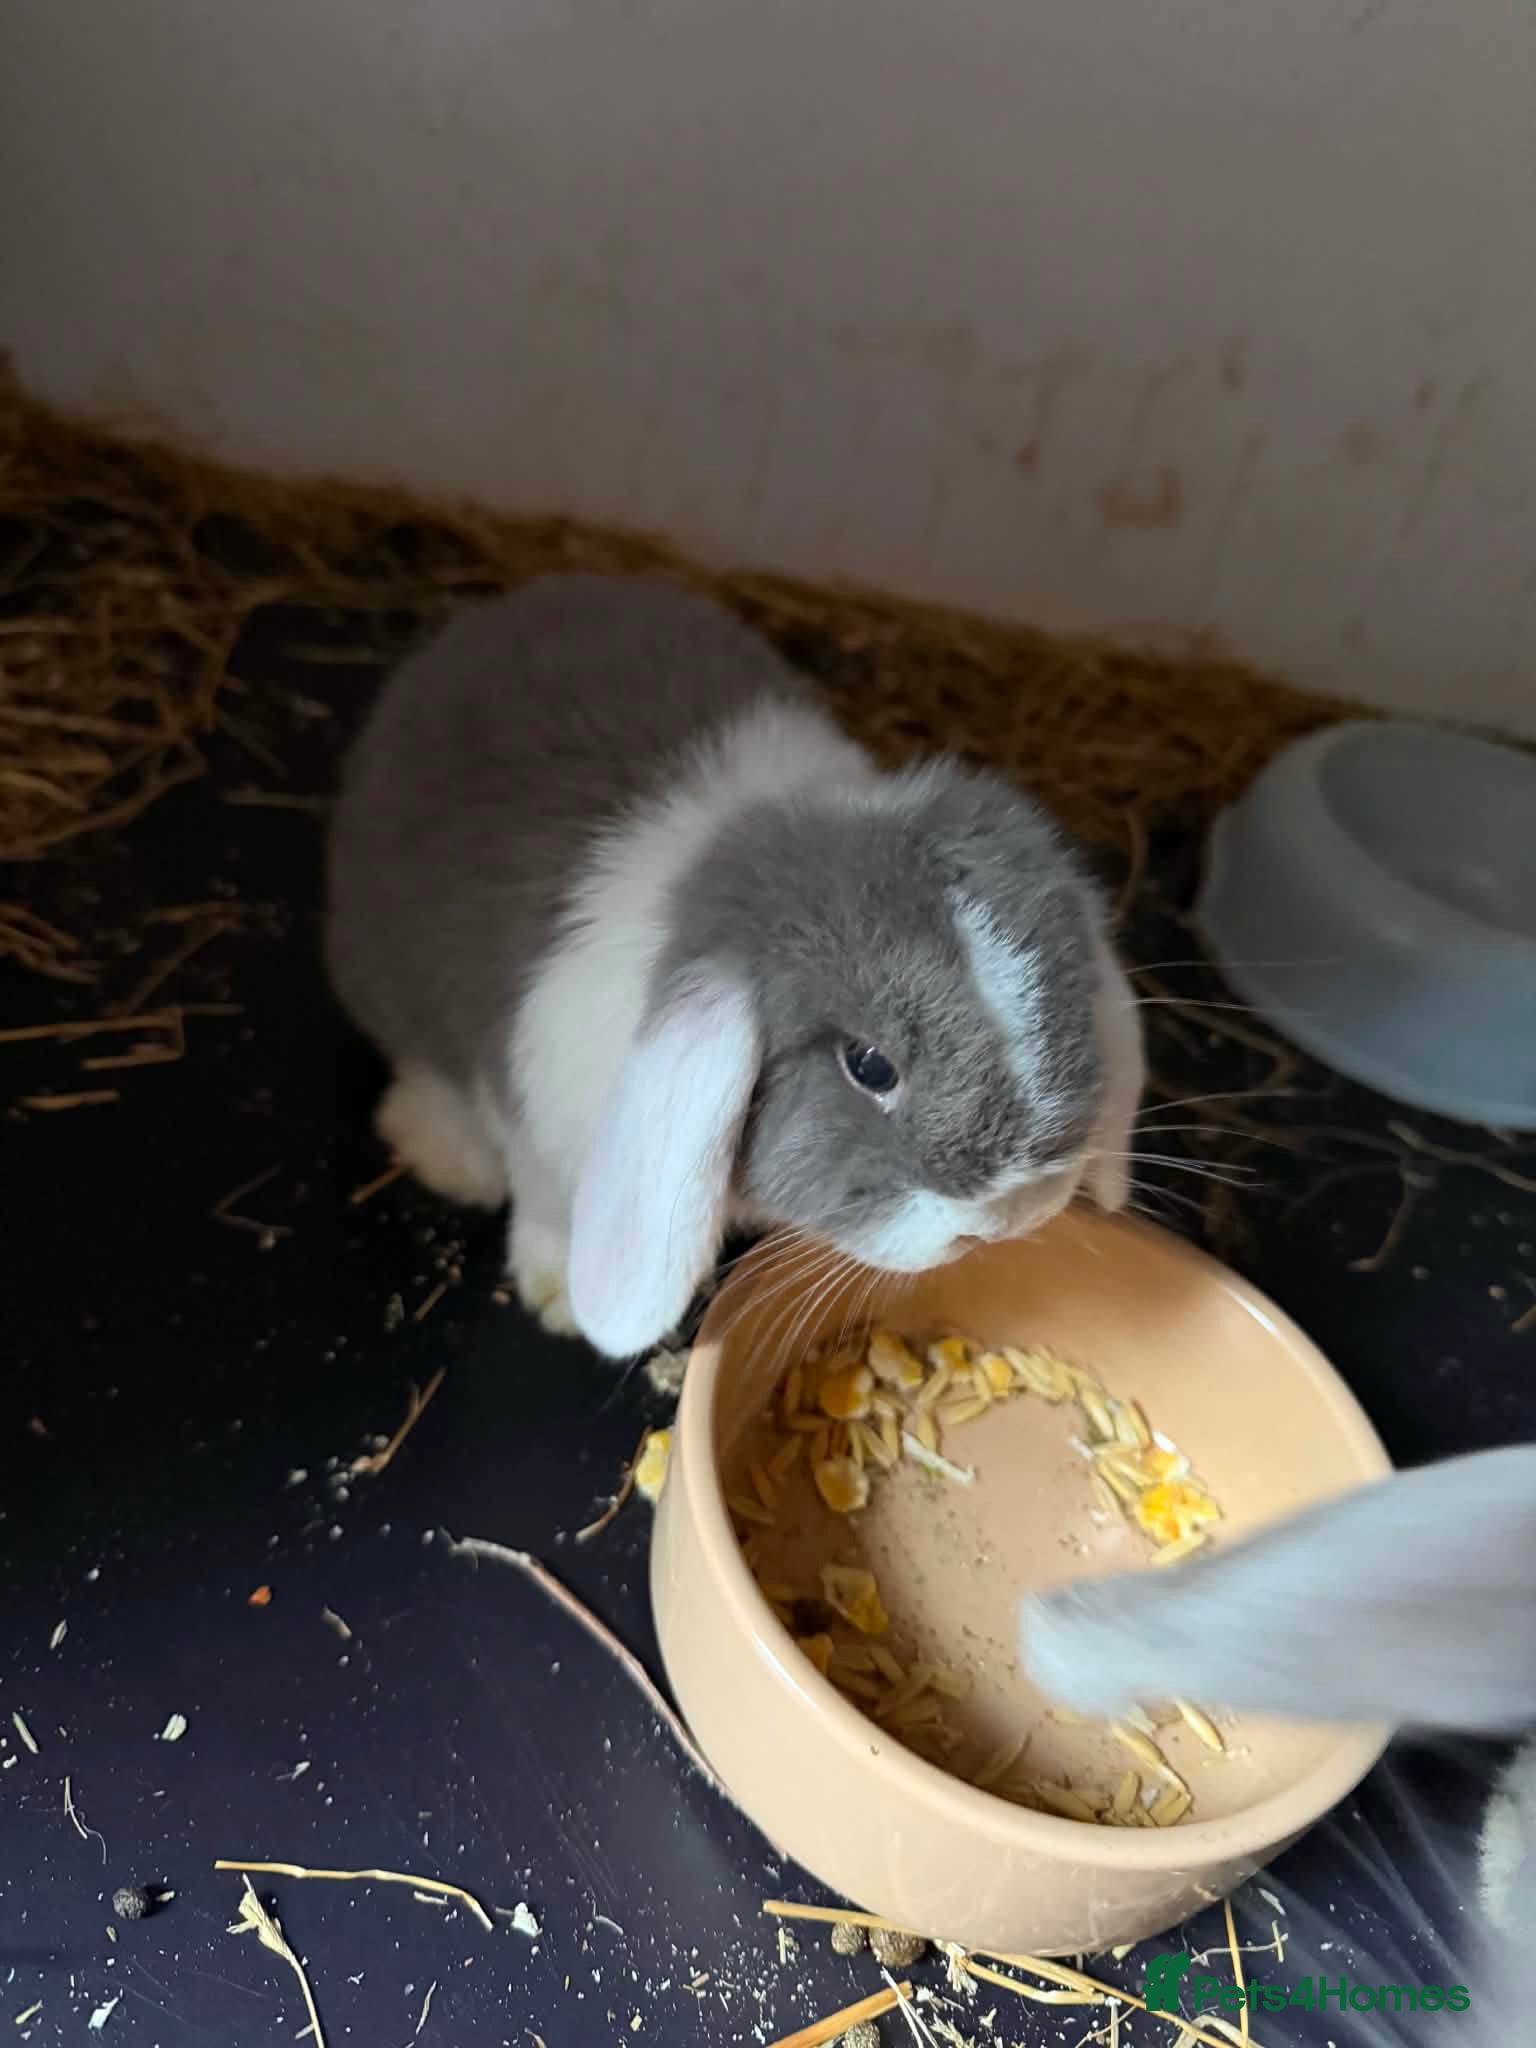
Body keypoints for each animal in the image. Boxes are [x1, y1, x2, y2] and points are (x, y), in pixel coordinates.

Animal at [325, 572, 1145, 1357]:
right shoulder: (538, 1124)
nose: (1008, 1216)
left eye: (1069, 1015)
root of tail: (485, 623)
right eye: (869, 1065)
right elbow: (547, 1205)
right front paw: (560, 1302)